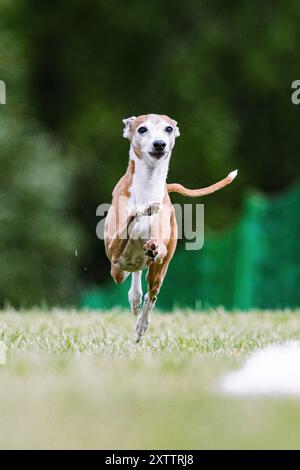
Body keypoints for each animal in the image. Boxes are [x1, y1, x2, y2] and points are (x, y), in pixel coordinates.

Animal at [104, 114, 238, 342]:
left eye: (168, 128)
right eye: (142, 129)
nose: (160, 144)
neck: (148, 185)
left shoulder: (161, 246)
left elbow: (158, 248)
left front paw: (153, 244)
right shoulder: (113, 251)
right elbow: (132, 216)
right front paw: (145, 209)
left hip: (158, 272)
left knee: (152, 293)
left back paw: (141, 324)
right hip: (117, 271)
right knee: (132, 272)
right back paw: (134, 296)